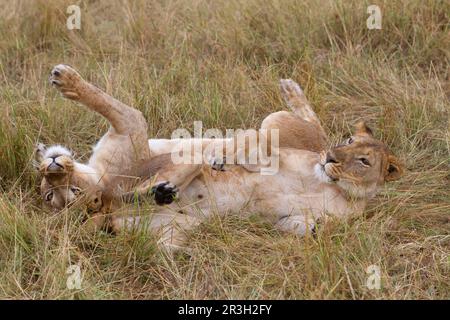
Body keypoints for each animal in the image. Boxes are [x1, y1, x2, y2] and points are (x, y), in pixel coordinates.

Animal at [34, 65, 400, 250]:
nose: (53, 167)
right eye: (50, 194)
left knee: (309, 127)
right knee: (310, 129)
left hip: (286, 127)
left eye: (67, 190)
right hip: (289, 130)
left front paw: (66, 79)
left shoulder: (132, 134)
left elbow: (115, 105)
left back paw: (290, 91)